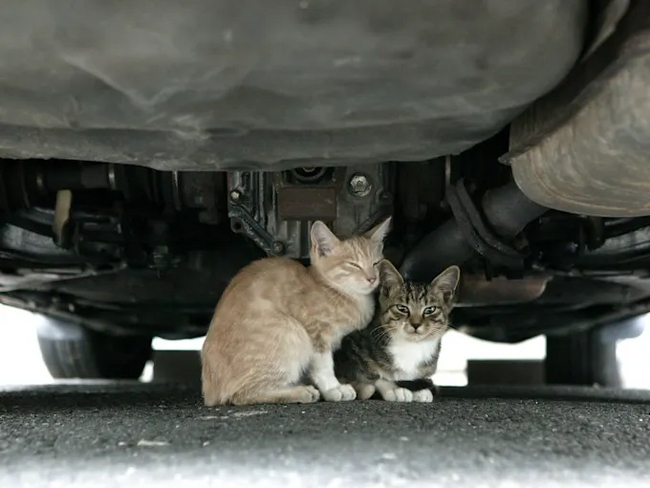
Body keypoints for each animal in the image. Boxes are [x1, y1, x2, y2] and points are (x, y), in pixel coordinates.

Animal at [200, 216, 390, 404]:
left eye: (376, 263)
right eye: (353, 265)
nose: (372, 278)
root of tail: (209, 393)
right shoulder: (315, 333)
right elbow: (324, 366)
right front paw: (332, 388)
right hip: (292, 332)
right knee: (241, 395)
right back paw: (300, 392)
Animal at [332, 262, 458, 402]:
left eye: (430, 310)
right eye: (402, 308)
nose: (415, 324)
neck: (411, 347)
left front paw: (421, 391)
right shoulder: (349, 348)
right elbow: (373, 375)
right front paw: (393, 388)